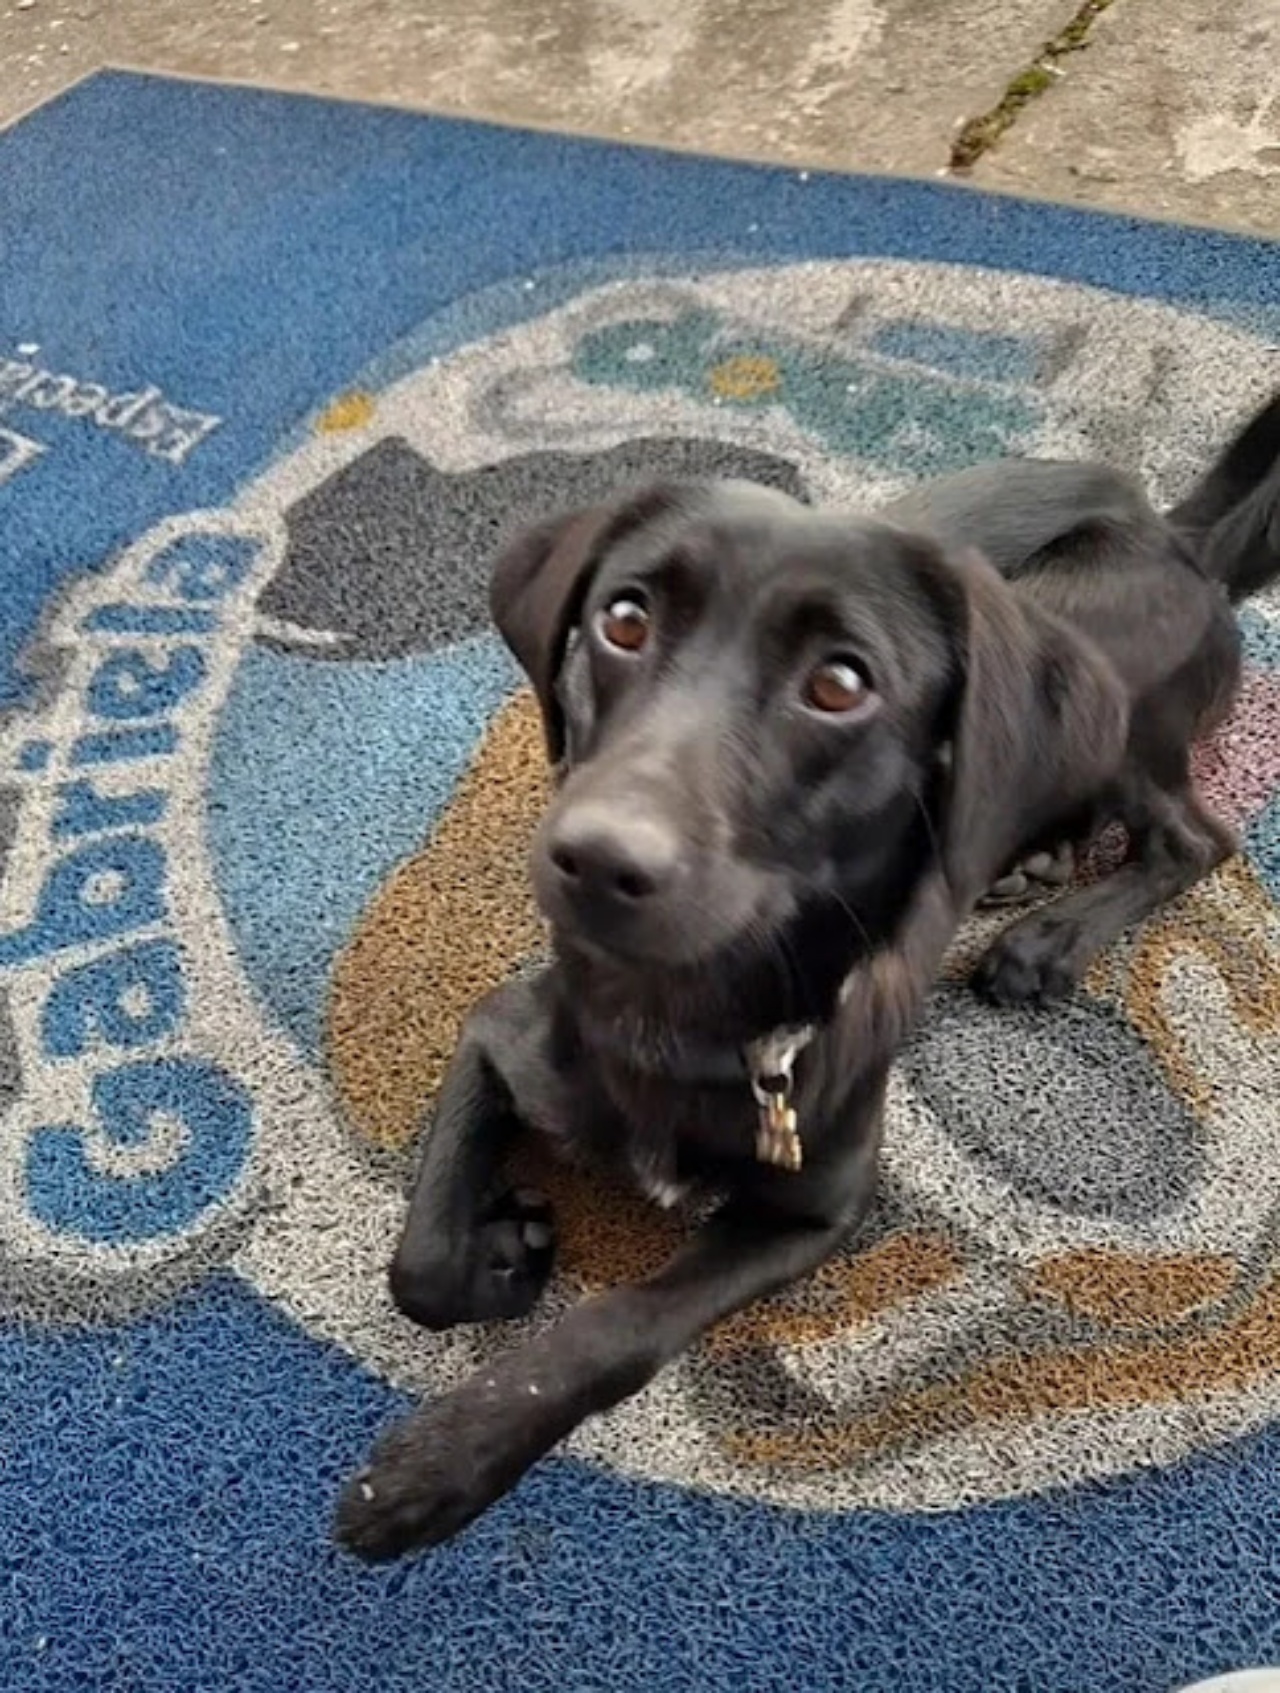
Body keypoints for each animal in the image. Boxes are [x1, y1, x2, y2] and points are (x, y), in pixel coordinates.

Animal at [335, 389, 1280, 1550]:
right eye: (622, 620)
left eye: (839, 682)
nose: (596, 858)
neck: (678, 1013)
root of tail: (1172, 531)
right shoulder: (498, 1031)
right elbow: (418, 1265)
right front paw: (497, 1250)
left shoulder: (816, 1209)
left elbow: (619, 1325)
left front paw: (443, 1461)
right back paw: (1037, 860)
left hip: (1103, 665)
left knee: (1194, 837)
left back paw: (1048, 936)